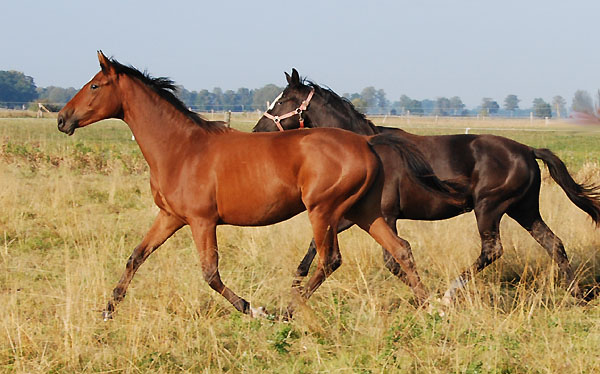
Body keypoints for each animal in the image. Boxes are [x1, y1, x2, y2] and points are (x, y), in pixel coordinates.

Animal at [57, 51, 464, 318]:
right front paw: (108, 309)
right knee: (400, 251)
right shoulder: (171, 217)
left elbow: (210, 274)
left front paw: (254, 309)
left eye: (95, 85)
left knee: (330, 259)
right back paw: (433, 307)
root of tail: (367, 142)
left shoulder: (202, 221)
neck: (181, 148)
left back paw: (287, 310)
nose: (62, 119)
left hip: (325, 212)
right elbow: (136, 256)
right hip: (366, 212)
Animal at [253, 68, 600, 304]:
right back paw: (578, 295)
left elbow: (393, 259)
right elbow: (316, 245)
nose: (257, 131)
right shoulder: (352, 215)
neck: (367, 146)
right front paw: (295, 285)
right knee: (553, 244)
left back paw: (449, 293)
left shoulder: (385, 215)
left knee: (493, 250)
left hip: (489, 208)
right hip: (523, 209)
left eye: (283, 100)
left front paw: (427, 299)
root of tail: (528, 150)